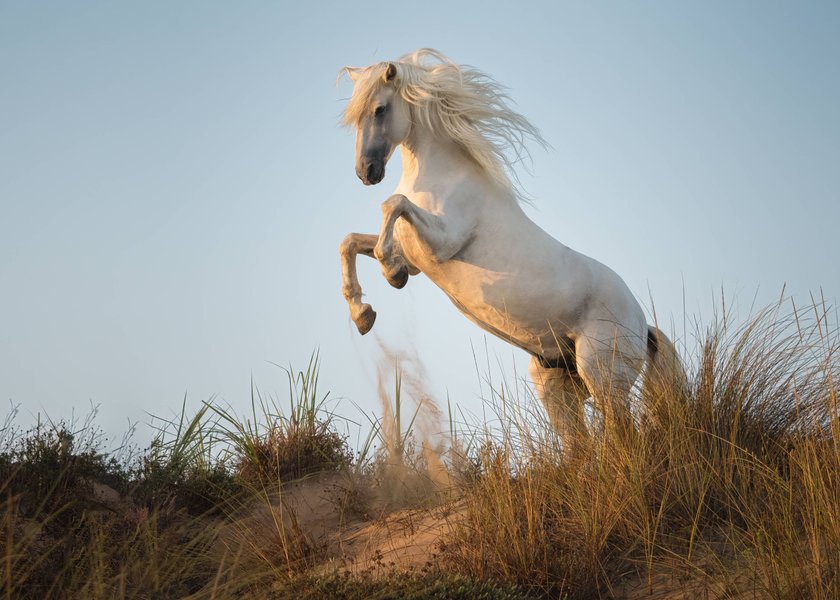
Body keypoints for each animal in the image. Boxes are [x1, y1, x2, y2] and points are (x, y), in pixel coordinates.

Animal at [338, 49, 681, 455]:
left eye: (379, 109)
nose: (367, 172)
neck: (441, 175)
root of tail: (642, 325)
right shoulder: (417, 256)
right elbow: (352, 241)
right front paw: (363, 314)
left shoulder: (442, 244)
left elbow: (392, 205)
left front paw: (392, 276)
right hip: (557, 387)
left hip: (603, 377)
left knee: (625, 437)